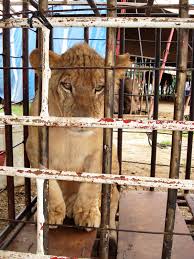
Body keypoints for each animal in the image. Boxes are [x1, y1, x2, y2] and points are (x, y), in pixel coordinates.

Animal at [25, 42, 129, 244]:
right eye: (67, 85)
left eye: (99, 87)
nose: (82, 121)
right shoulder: (34, 148)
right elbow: (50, 185)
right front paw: (51, 212)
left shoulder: (101, 152)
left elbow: (91, 185)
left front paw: (87, 214)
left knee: (111, 205)